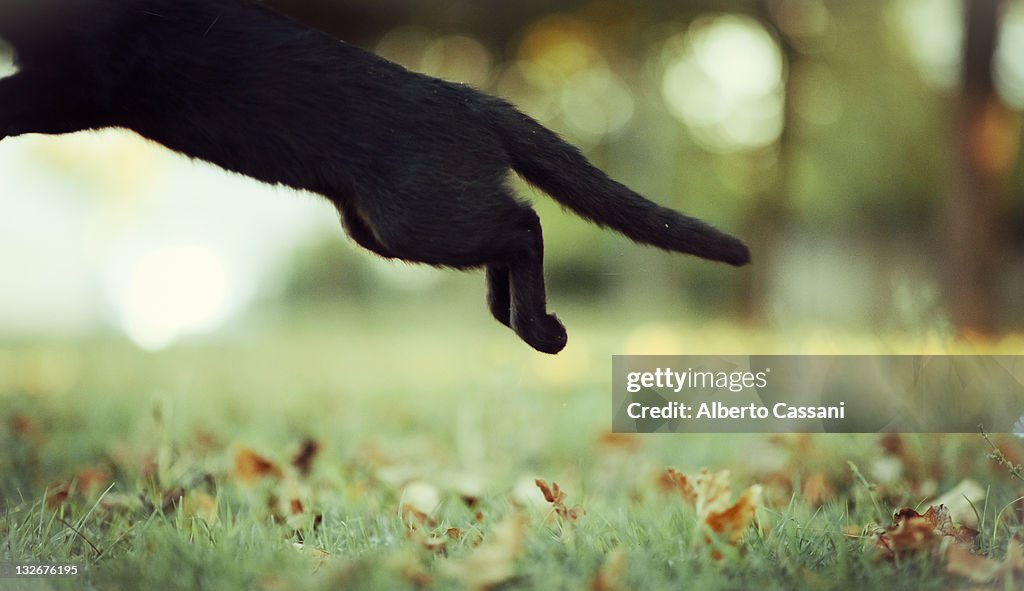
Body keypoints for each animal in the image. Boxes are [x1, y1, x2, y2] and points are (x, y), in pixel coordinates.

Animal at [0, 0, 753, 352]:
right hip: (384, 228)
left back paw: (539, 327)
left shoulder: (82, 78)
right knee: (512, 224)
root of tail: (469, 95)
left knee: (524, 223)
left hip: (411, 220)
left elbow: (11, 98)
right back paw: (508, 311)